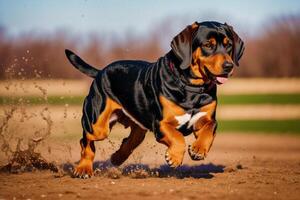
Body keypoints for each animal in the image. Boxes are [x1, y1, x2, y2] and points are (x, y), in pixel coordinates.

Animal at [65, 21, 244, 179]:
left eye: (228, 45)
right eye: (208, 45)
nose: (229, 66)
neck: (192, 88)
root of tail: (100, 71)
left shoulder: (206, 119)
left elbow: (209, 130)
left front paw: (198, 150)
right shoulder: (161, 123)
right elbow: (177, 137)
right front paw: (174, 157)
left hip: (138, 127)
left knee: (129, 142)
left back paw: (117, 158)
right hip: (97, 125)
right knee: (85, 142)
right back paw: (83, 169)